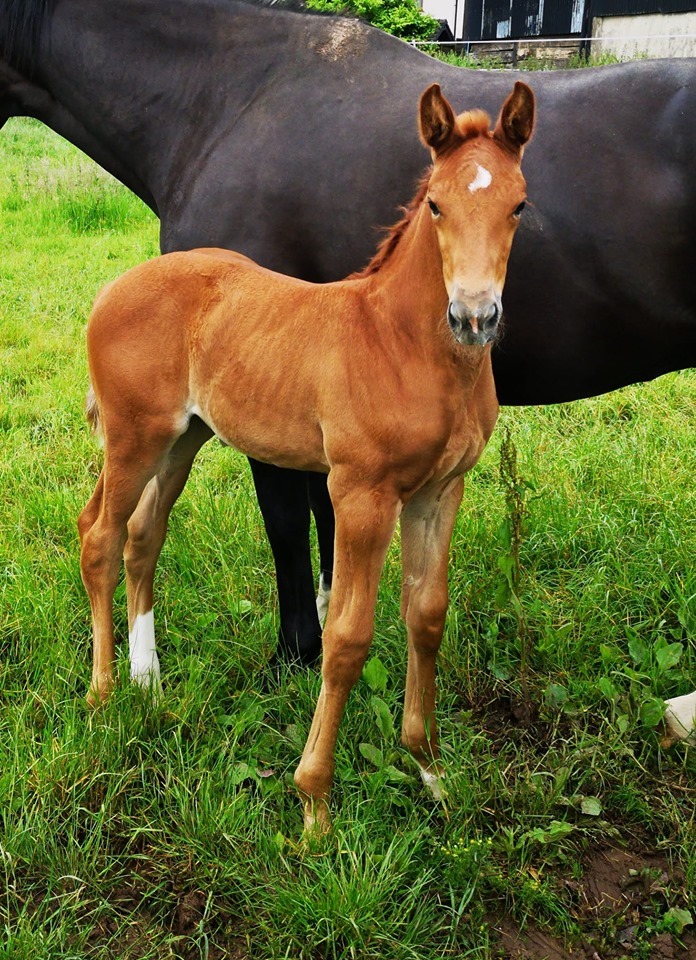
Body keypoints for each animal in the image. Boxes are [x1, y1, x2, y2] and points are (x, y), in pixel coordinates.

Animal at [83, 82, 540, 828]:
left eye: (518, 204)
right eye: (436, 203)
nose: (475, 317)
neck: (401, 344)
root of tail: (112, 289)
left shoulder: (439, 492)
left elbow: (427, 616)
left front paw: (430, 770)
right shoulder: (360, 494)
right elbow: (346, 638)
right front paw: (314, 804)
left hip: (181, 439)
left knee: (141, 535)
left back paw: (148, 682)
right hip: (133, 437)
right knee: (98, 535)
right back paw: (102, 693)